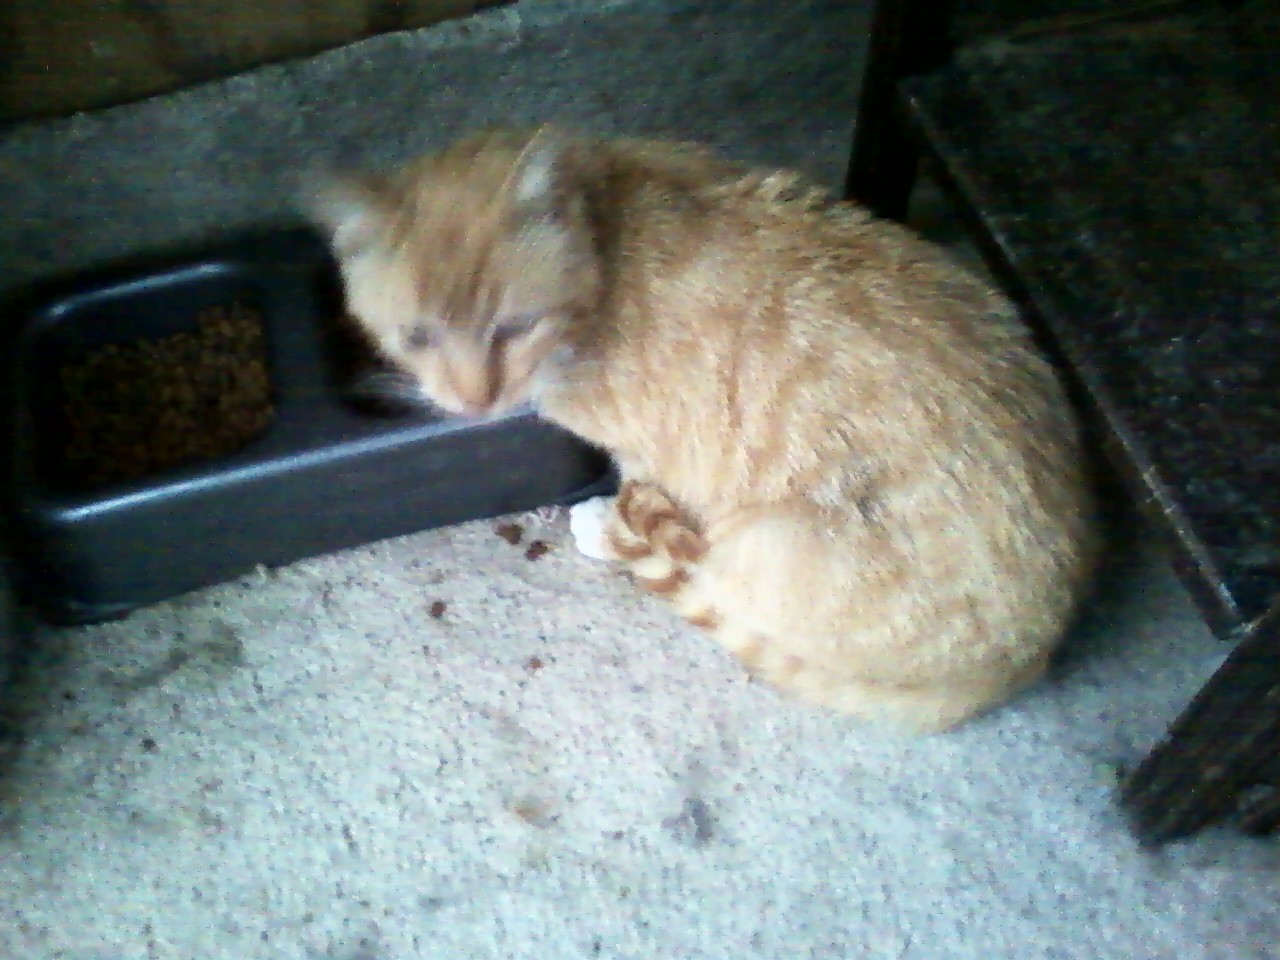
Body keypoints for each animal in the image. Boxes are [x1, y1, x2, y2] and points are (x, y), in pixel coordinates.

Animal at [306, 125, 1100, 733]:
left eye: (514, 327)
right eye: (417, 337)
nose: (476, 401)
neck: (607, 239)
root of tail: (1029, 656)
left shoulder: (657, 450)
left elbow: (645, 504)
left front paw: (606, 527)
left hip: (769, 543)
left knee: (716, 578)